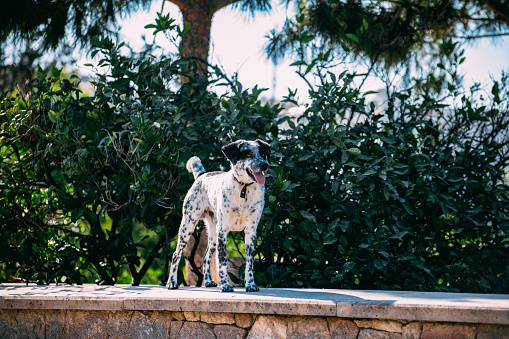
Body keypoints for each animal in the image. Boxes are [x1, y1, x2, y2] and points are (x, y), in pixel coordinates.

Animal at [166, 139, 270, 294]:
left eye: (263, 154)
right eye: (248, 154)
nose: (265, 164)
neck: (243, 188)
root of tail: (202, 175)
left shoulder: (251, 231)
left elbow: (250, 262)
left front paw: (251, 284)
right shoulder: (223, 231)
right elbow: (222, 261)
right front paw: (225, 285)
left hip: (213, 234)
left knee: (205, 257)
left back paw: (208, 281)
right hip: (188, 226)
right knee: (175, 255)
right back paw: (172, 282)